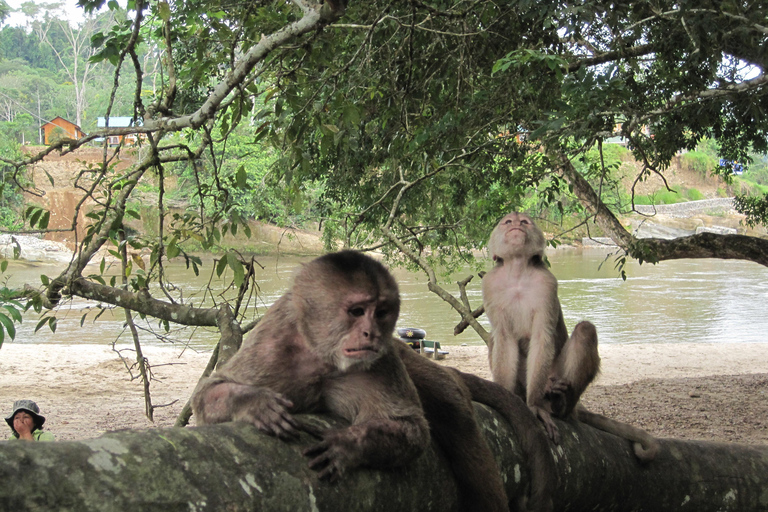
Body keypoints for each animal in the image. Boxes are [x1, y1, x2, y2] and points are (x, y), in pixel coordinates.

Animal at [190, 251, 552, 512]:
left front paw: (350, 445)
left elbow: (410, 427)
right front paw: (257, 404)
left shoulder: (381, 359)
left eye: (380, 312)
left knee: (453, 410)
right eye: (356, 311)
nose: (372, 333)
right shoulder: (272, 345)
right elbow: (208, 395)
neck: (322, 355)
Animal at [484, 212, 656, 460]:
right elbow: (504, 338)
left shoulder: (547, 283)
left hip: (556, 373)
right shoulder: (490, 285)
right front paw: (507, 399)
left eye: (524, 222)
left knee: (585, 331)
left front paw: (534, 405)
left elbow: (542, 336)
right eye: (508, 222)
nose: (516, 222)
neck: (517, 272)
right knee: (493, 338)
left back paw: (559, 404)